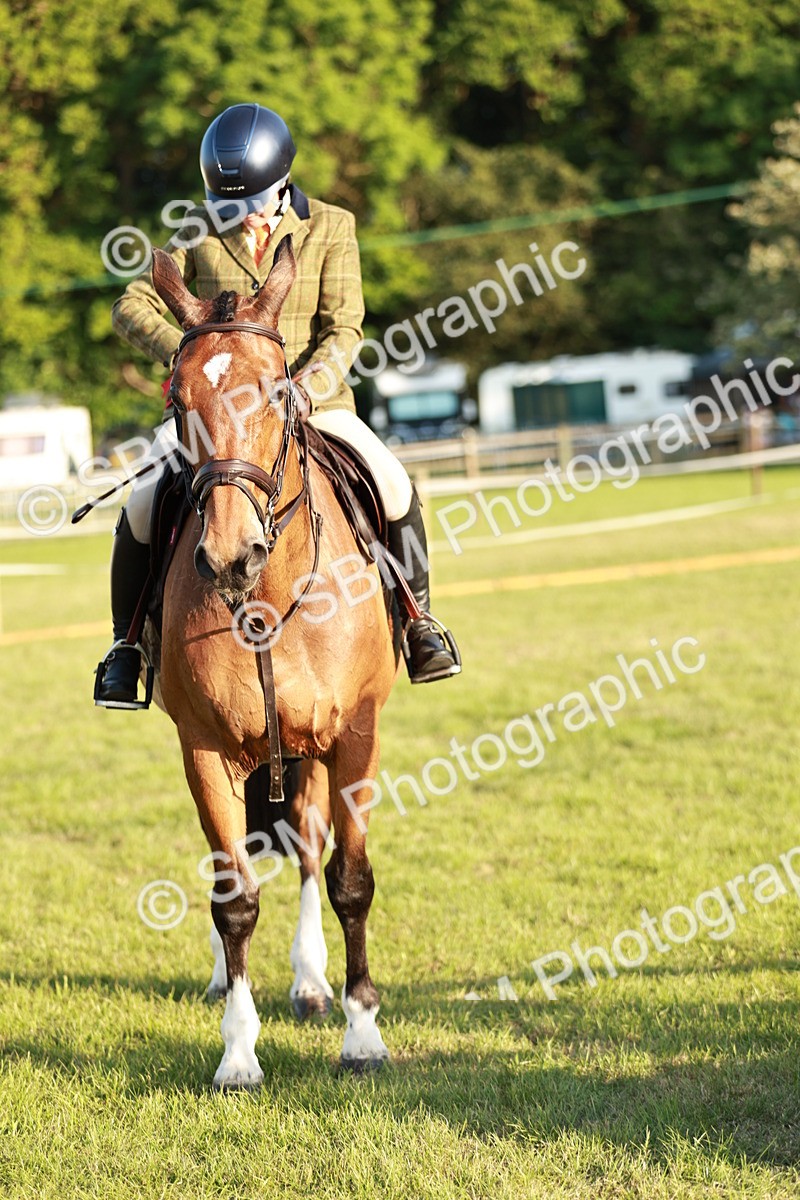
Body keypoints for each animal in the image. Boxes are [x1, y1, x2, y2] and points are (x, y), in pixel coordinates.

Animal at [149, 239, 400, 1088]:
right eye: (177, 397)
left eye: (276, 392)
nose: (231, 555)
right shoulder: (203, 749)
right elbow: (233, 898)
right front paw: (237, 1052)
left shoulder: (353, 735)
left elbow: (349, 880)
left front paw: (363, 1037)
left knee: (311, 852)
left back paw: (314, 983)